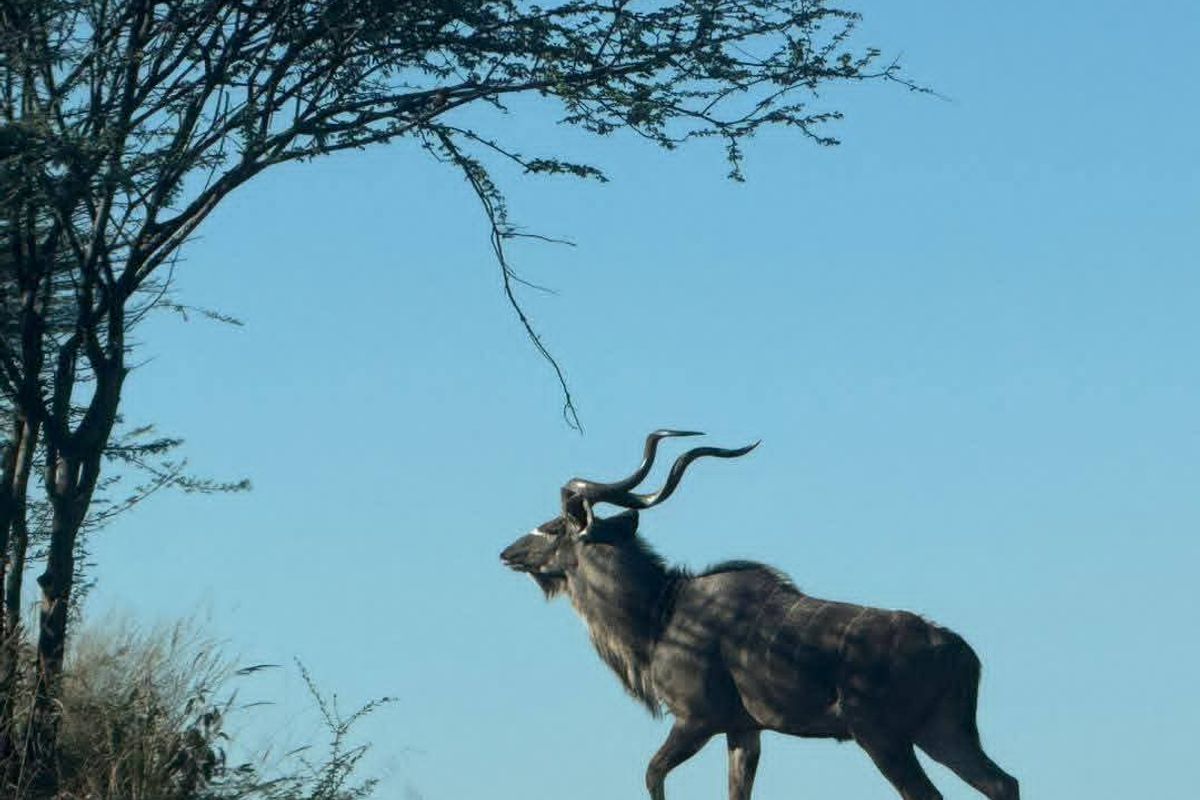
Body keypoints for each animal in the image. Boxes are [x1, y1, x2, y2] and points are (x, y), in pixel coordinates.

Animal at [500, 431, 1019, 800]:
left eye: (553, 527)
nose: (508, 552)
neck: (660, 615)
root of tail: (960, 652)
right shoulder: (743, 731)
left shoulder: (697, 720)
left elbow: (651, 774)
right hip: (942, 733)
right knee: (1002, 783)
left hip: (883, 737)